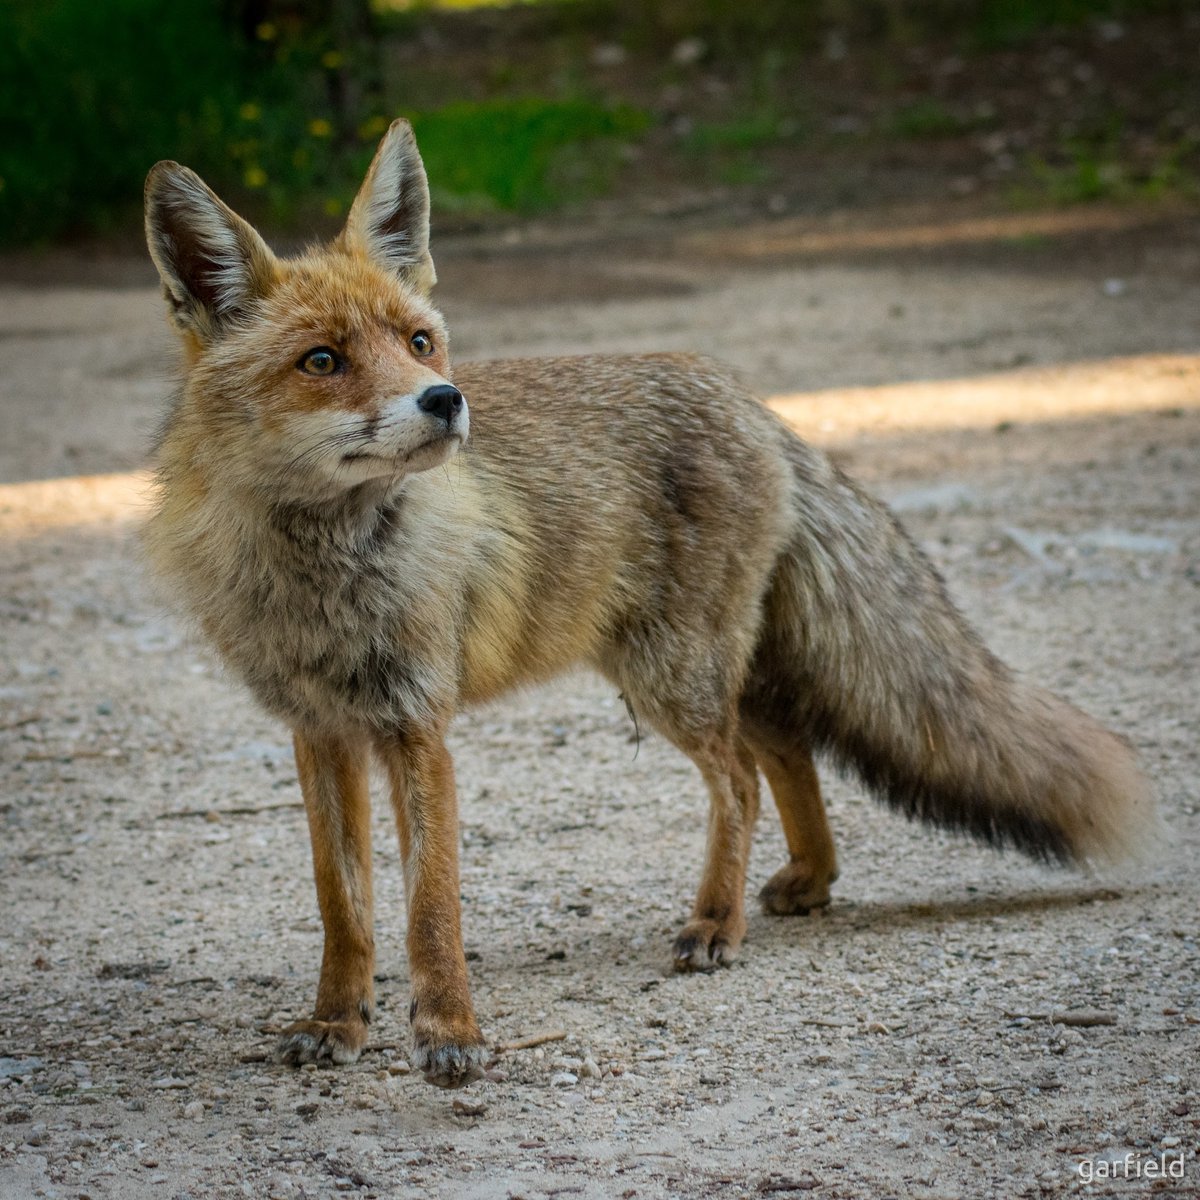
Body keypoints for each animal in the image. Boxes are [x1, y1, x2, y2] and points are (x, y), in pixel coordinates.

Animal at [143, 118, 1151, 1089]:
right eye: (323, 360)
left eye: (419, 342)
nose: (446, 400)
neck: (323, 578)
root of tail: (750, 400)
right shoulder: (318, 731)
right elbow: (342, 906)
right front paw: (335, 1023)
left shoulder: (415, 722)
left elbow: (431, 909)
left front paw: (452, 1037)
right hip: (693, 669)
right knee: (786, 747)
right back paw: (809, 878)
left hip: (670, 675)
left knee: (740, 780)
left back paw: (717, 922)